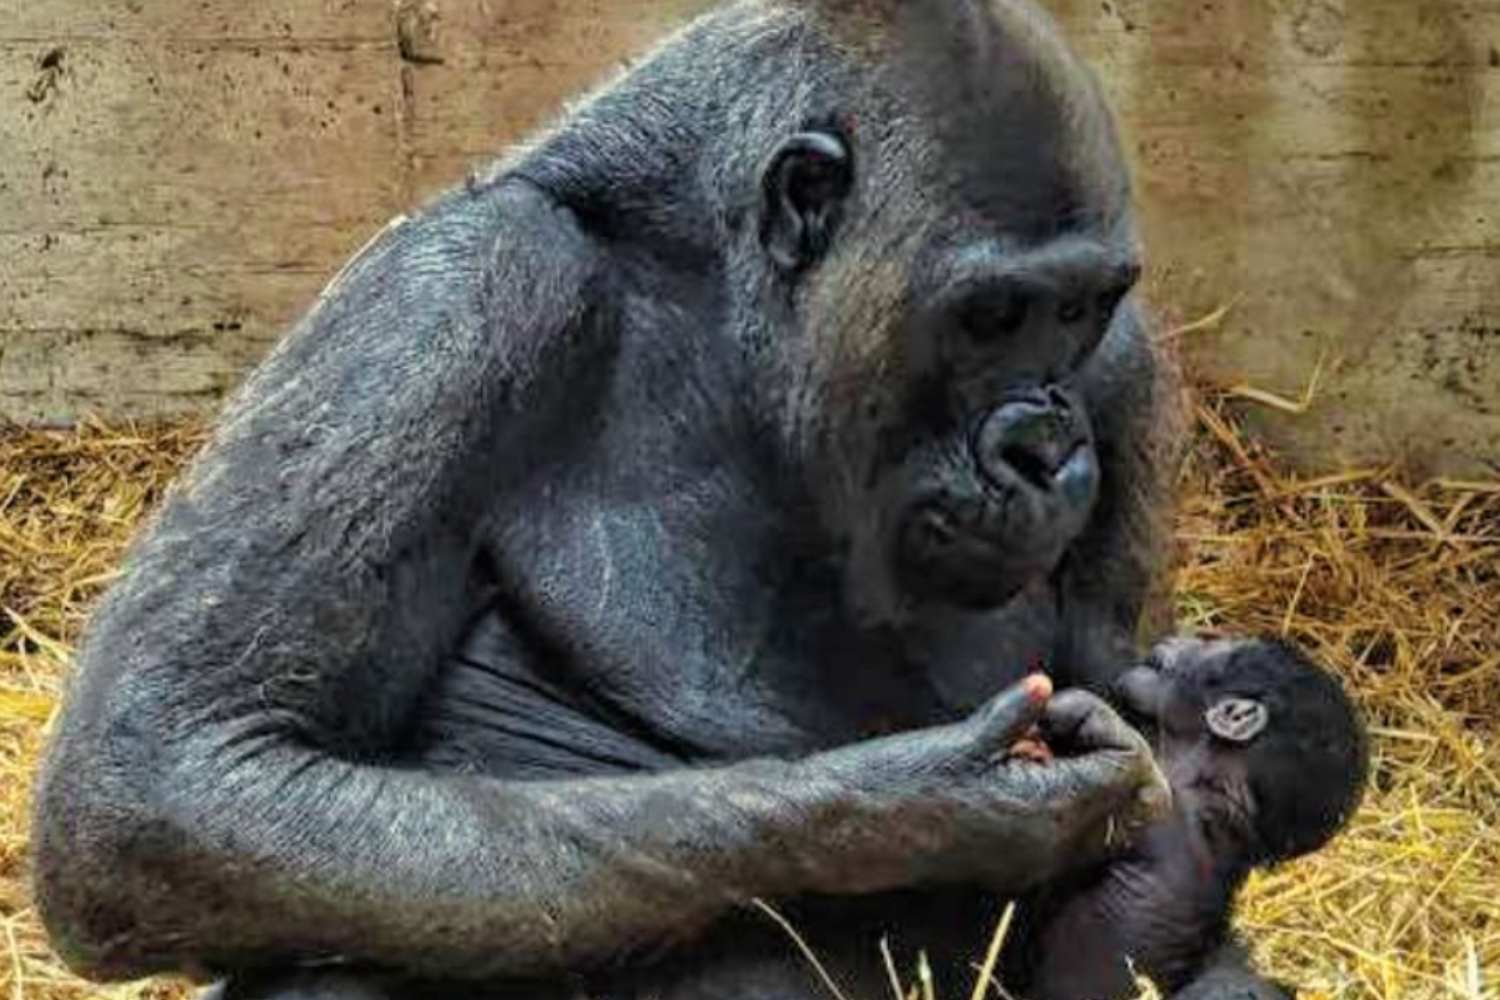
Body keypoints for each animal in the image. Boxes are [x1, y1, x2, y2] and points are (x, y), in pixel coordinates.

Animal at [31, 1, 1286, 996]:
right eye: (991, 316)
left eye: (1076, 310)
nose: (1042, 446)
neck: (727, 296)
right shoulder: (458, 298)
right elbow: (173, 770)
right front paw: (924, 808)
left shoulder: (1126, 368)